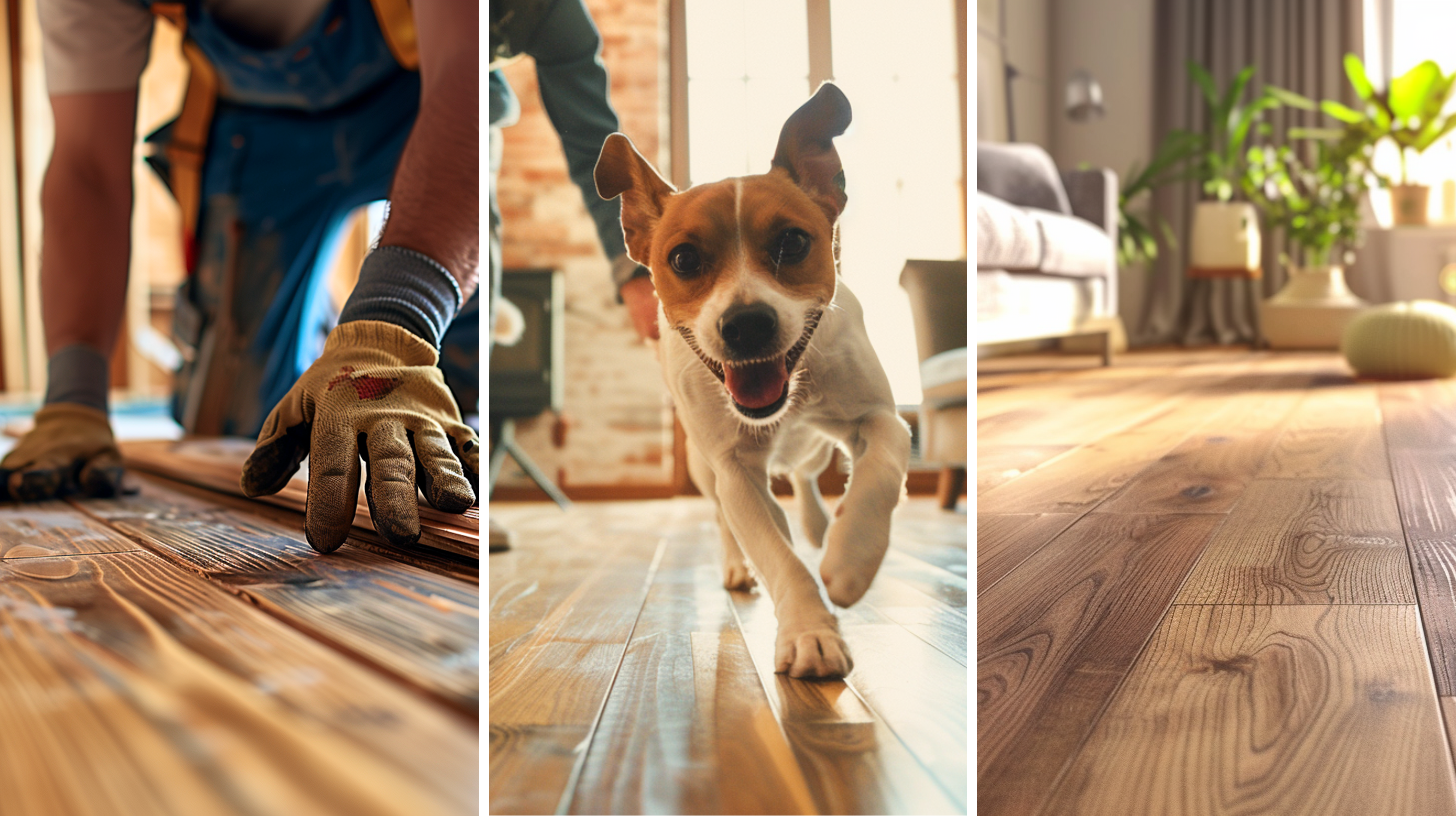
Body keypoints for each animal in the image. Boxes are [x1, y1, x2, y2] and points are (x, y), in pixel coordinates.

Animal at [596, 84, 902, 676]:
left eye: (792, 243)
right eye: (683, 258)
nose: (746, 324)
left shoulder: (878, 417)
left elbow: (881, 470)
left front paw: (851, 559)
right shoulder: (734, 470)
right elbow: (776, 554)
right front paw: (810, 630)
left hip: (815, 449)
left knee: (804, 477)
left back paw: (820, 526)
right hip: (703, 468)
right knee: (729, 520)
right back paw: (742, 565)